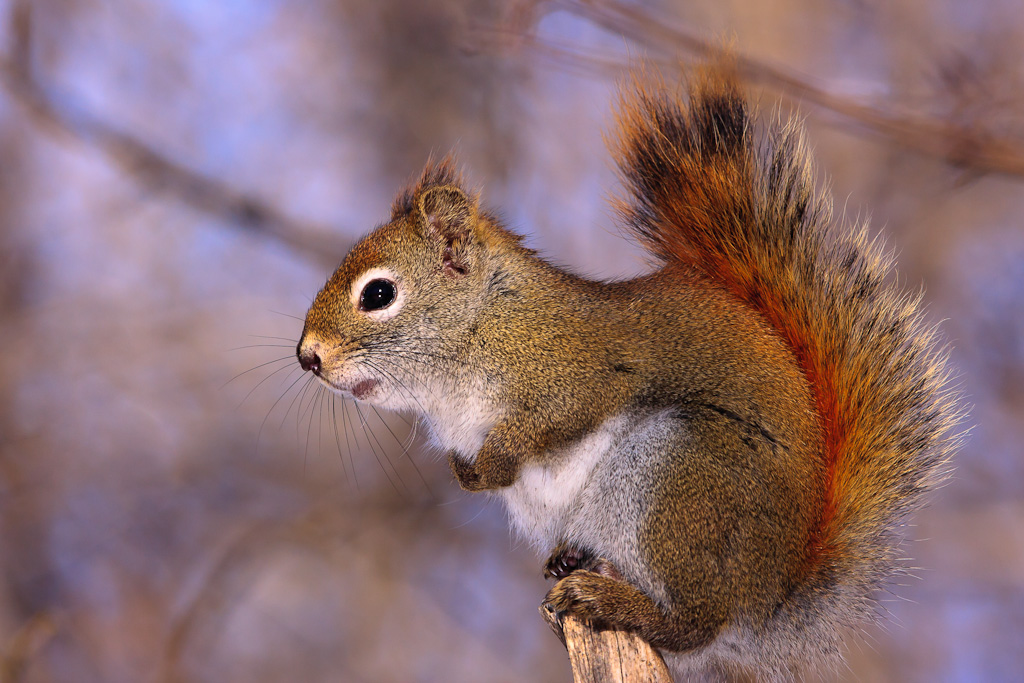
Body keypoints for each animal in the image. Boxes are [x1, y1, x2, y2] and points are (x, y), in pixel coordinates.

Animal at [294, 66, 958, 679]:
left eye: (379, 294)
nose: (308, 357)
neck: (479, 331)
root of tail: (769, 598)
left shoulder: (579, 369)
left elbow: (556, 417)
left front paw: (493, 464)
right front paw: (468, 472)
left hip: (681, 475)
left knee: (692, 624)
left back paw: (611, 601)